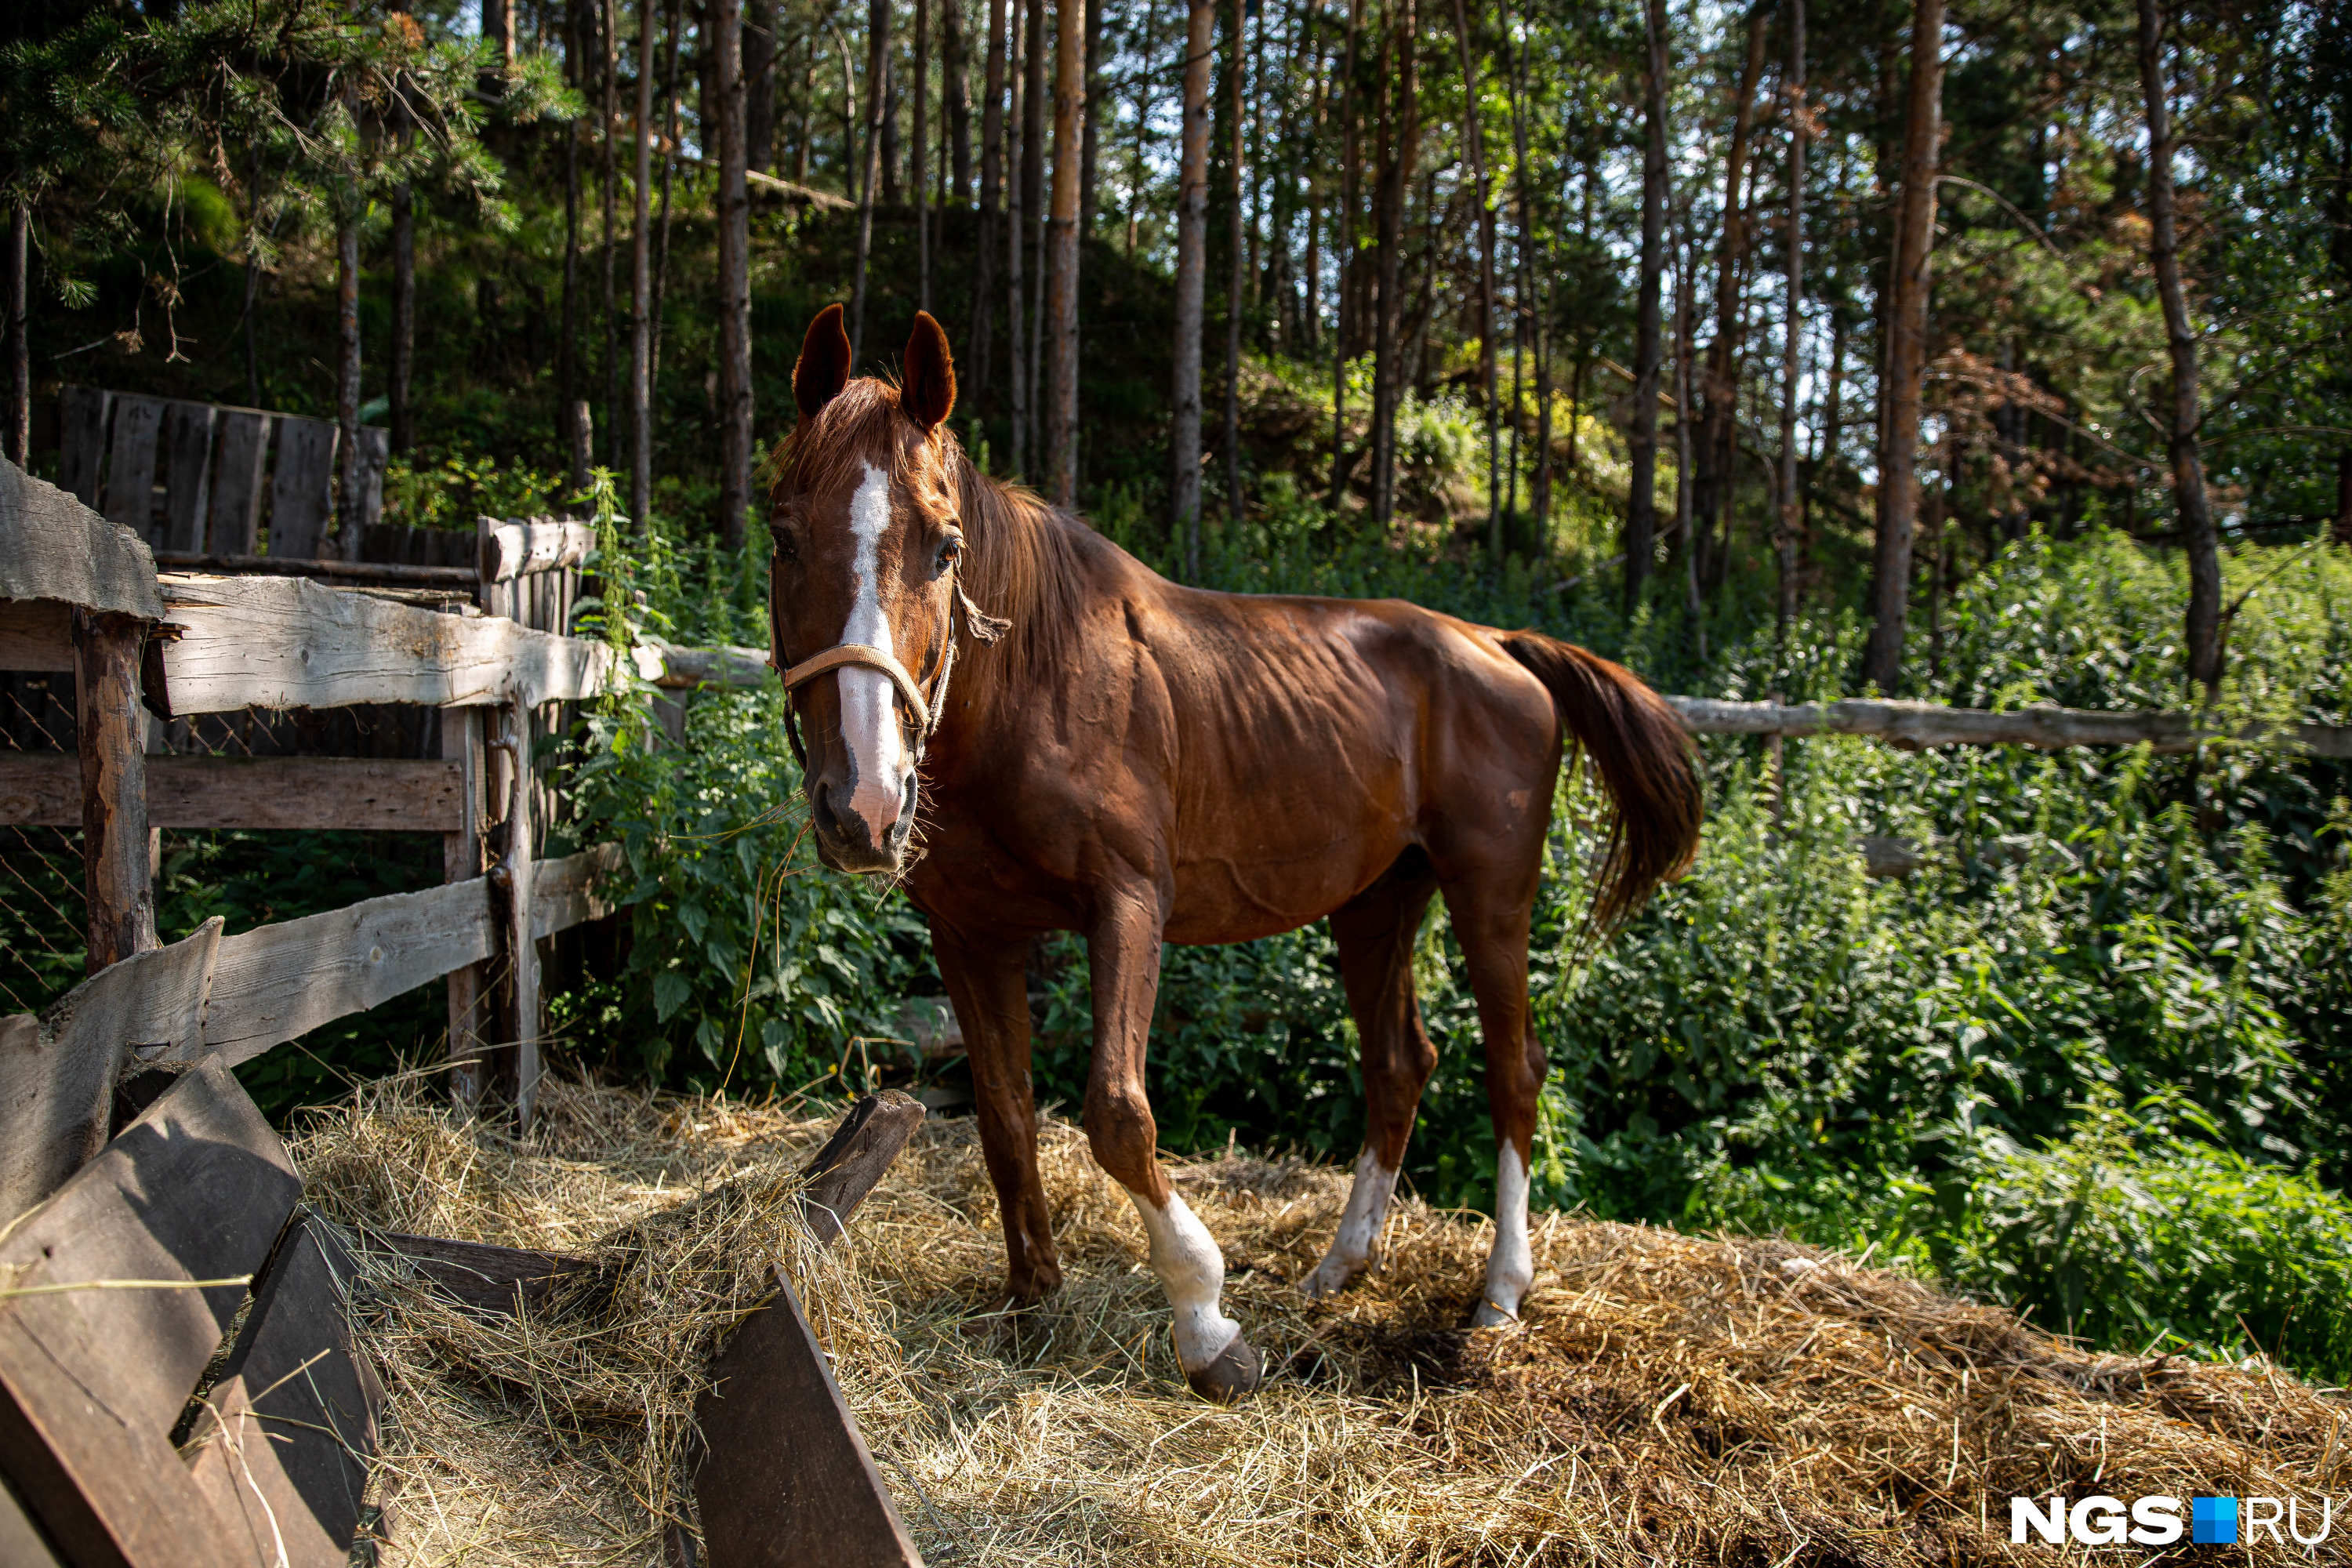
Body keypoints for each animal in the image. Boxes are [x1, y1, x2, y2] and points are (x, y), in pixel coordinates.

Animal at [771, 303, 1712, 1401]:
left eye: (944, 546)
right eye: (783, 535)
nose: (865, 804)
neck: (1037, 684)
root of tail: (1500, 645)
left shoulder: (1129, 903)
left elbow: (1117, 1113)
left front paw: (1208, 1323)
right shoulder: (972, 933)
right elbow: (1005, 1116)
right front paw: (1033, 1302)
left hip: (1492, 893)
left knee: (1514, 1069)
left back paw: (1500, 1293)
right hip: (1378, 901)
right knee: (1400, 1062)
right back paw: (1340, 1266)